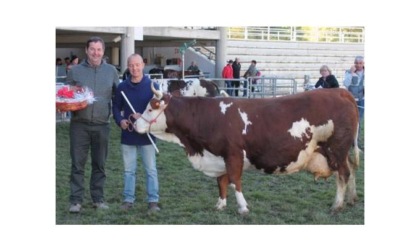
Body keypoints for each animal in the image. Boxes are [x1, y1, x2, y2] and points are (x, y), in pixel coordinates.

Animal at [135, 85, 360, 215]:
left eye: (150, 107)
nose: (133, 122)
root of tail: (340, 91)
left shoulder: (233, 154)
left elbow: (235, 180)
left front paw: (243, 207)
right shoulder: (219, 156)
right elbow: (222, 181)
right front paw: (220, 205)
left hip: (337, 149)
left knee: (343, 174)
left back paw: (337, 205)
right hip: (341, 152)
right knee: (351, 170)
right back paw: (351, 199)